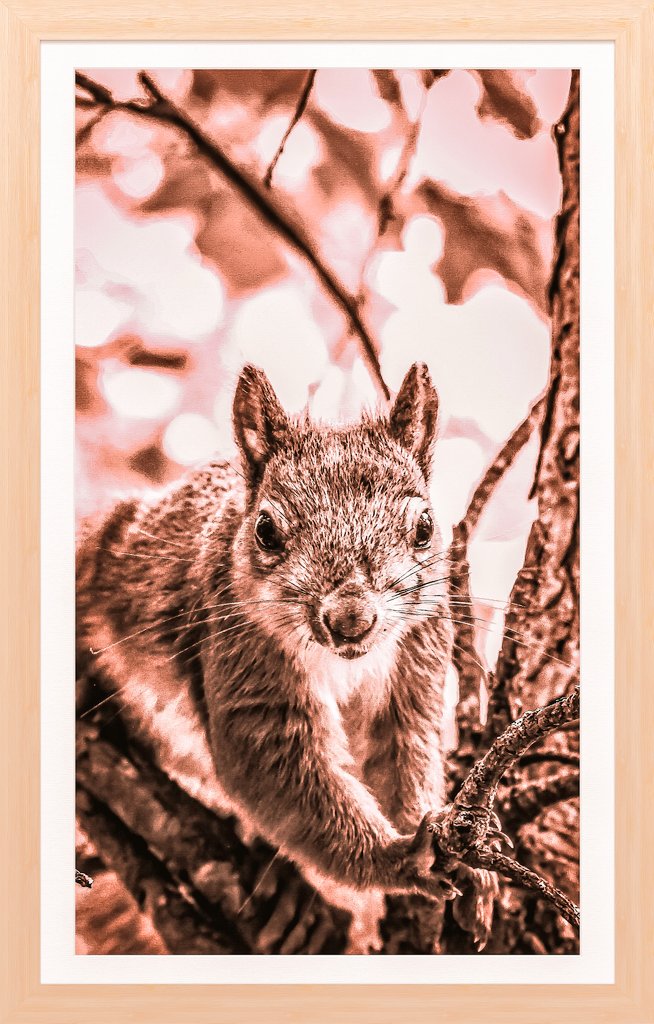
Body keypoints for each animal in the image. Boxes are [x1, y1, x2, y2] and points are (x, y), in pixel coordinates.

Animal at [77, 361, 460, 903]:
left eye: (425, 527)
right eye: (265, 530)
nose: (351, 619)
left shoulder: (418, 657)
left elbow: (406, 752)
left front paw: (442, 837)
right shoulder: (241, 657)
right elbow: (276, 773)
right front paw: (399, 858)